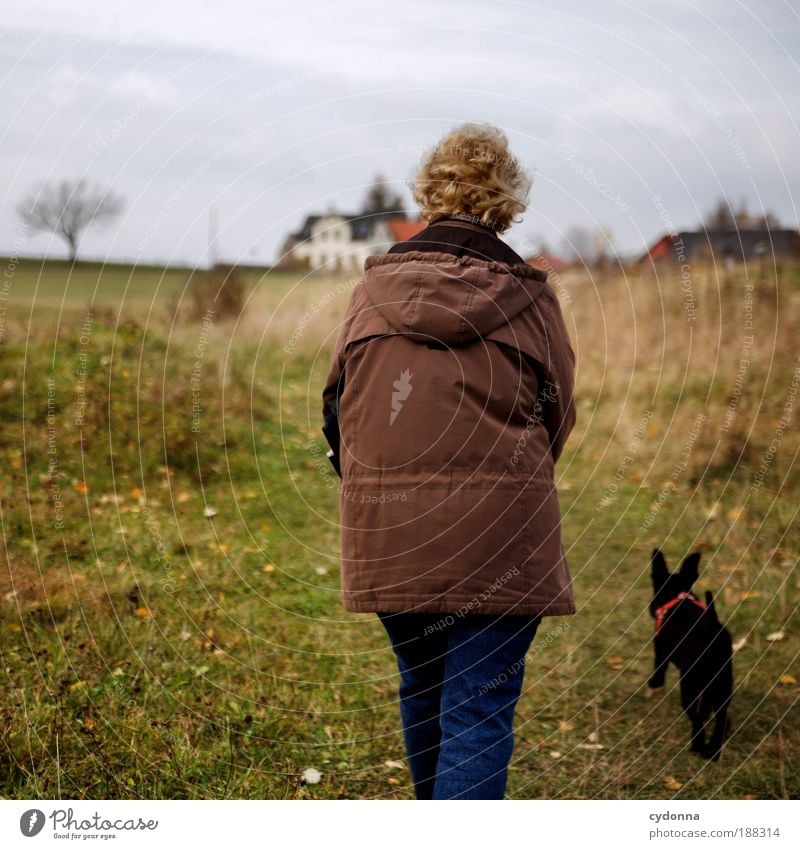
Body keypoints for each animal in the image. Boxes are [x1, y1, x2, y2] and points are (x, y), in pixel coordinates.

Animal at [648, 548, 736, 760]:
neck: (676, 599)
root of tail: (712, 629)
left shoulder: (660, 648)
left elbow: (659, 667)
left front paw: (654, 682)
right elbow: (706, 708)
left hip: (690, 685)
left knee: (696, 719)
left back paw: (698, 746)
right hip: (723, 684)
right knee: (721, 719)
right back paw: (713, 751)